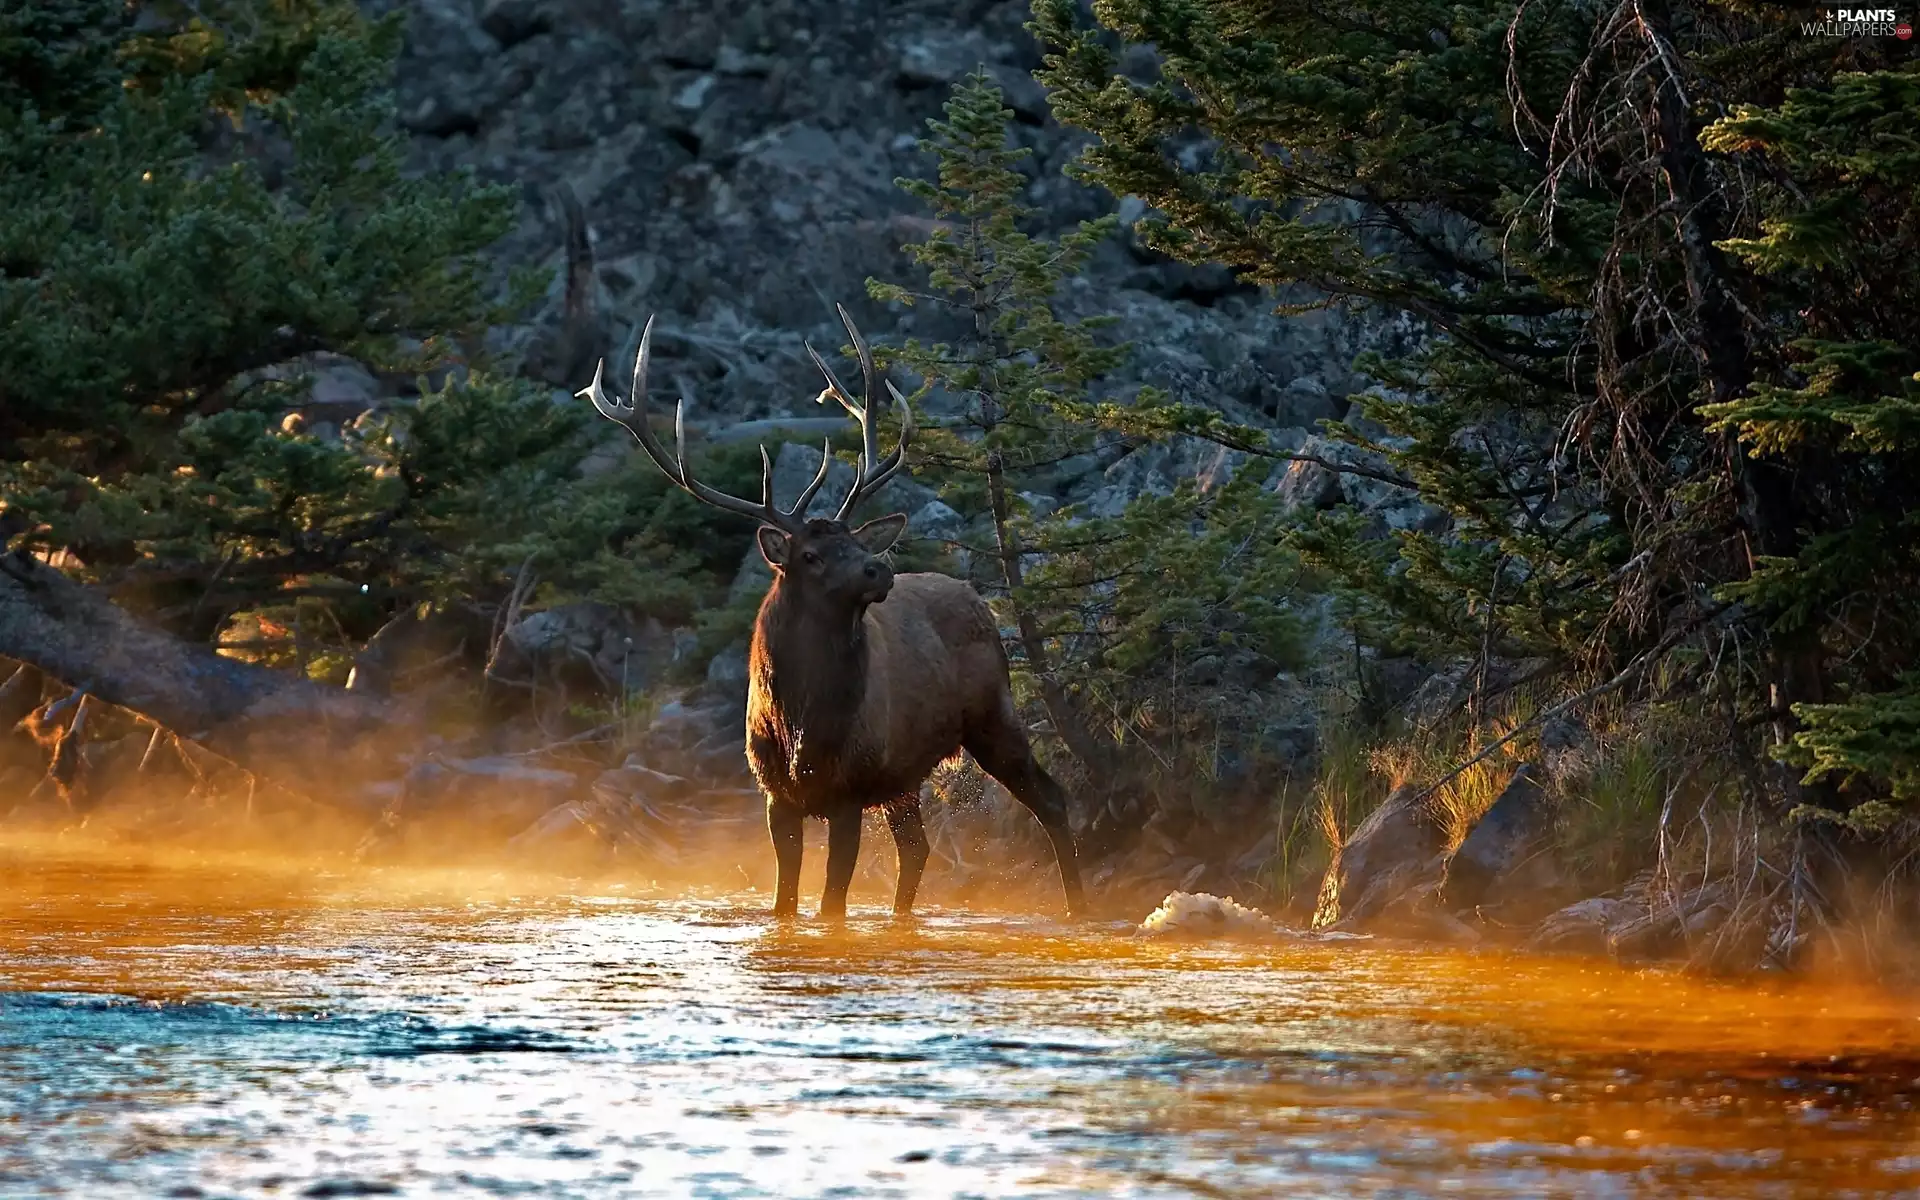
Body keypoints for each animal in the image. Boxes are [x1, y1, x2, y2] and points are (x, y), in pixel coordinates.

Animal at [580, 305, 1087, 921]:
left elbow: (832, 904)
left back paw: (1079, 907)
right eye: (812, 554)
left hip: (993, 714)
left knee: (1051, 799)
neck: (802, 724)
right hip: (904, 774)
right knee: (917, 849)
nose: (878, 569)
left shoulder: (850, 789)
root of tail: (979, 600)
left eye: (855, 541)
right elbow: (785, 901)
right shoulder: (776, 794)